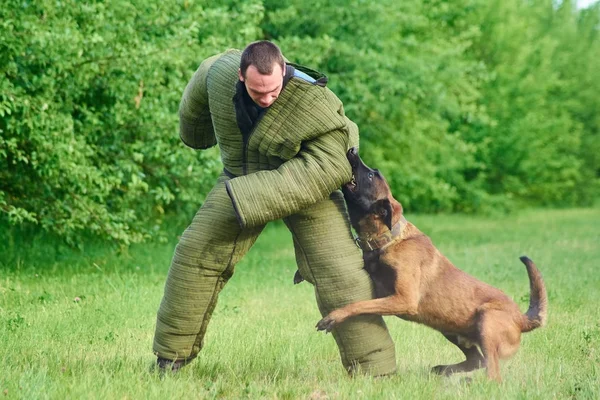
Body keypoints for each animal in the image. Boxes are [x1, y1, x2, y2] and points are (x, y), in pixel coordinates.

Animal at [296, 148, 548, 382]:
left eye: (370, 175)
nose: (353, 150)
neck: (389, 238)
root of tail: (522, 319)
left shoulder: (403, 299)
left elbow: (359, 304)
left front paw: (334, 316)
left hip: (487, 322)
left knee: (493, 374)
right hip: (451, 330)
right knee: (478, 360)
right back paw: (446, 371)